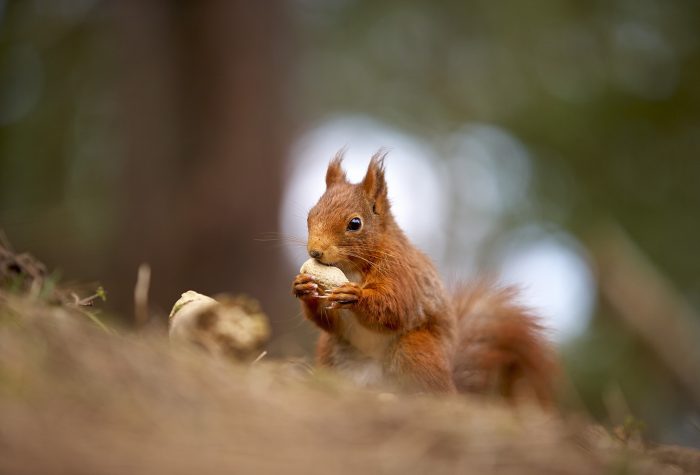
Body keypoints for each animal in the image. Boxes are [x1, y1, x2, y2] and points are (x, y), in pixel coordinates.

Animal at [292, 152, 556, 406]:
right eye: (310, 216)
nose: (315, 252)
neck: (350, 268)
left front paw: (354, 295)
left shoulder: (402, 273)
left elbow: (395, 308)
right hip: (332, 350)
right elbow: (329, 321)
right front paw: (303, 287)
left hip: (416, 349)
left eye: (355, 223)